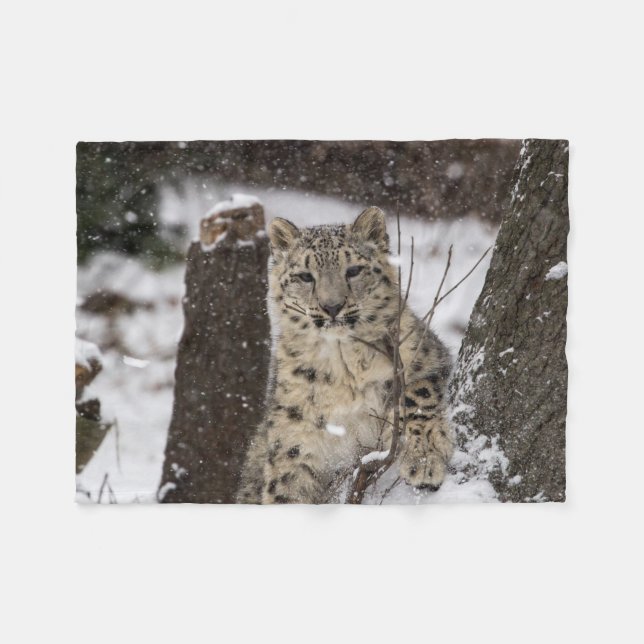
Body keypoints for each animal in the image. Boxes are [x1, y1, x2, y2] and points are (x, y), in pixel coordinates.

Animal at [236, 206, 454, 504]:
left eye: (353, 270)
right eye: (305, 276)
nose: (332, 306)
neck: (344, 367)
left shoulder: (425, 355)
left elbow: (417, 395)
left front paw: (423, 460)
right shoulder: (295, 435)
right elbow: (286, 488)